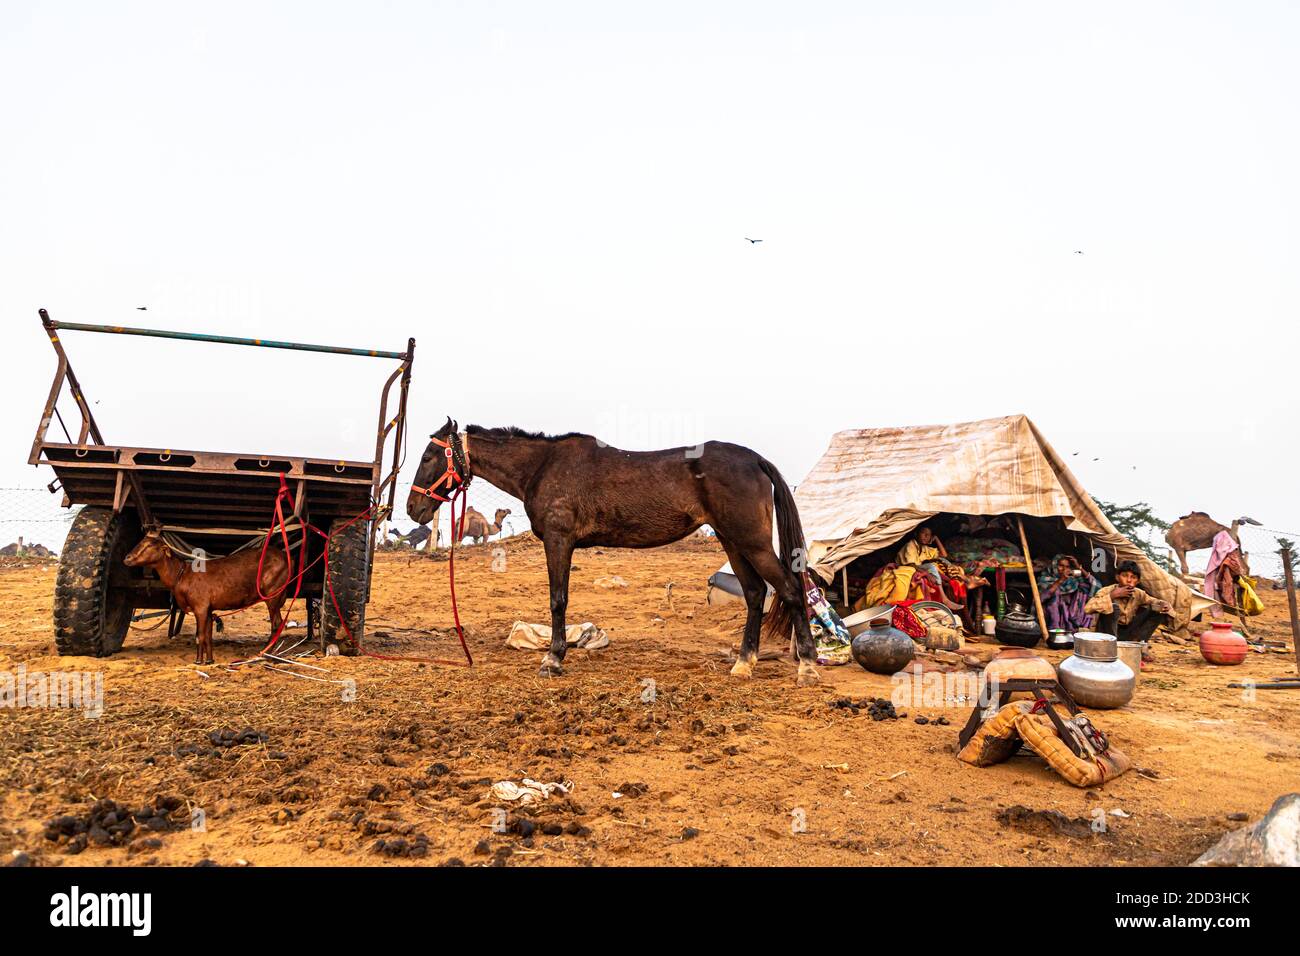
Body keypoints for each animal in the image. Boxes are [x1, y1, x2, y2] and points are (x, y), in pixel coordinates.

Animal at [405, 418, 816, 686]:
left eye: (427, 457)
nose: (413, 509)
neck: (542, 467)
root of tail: (755, 459)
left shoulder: (558, 540)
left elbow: (558, 600)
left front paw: (553, 658)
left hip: (751, 542)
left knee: (790, 590)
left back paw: (807, 666)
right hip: (733, 542)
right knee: (755, 593)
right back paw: (744, 663)